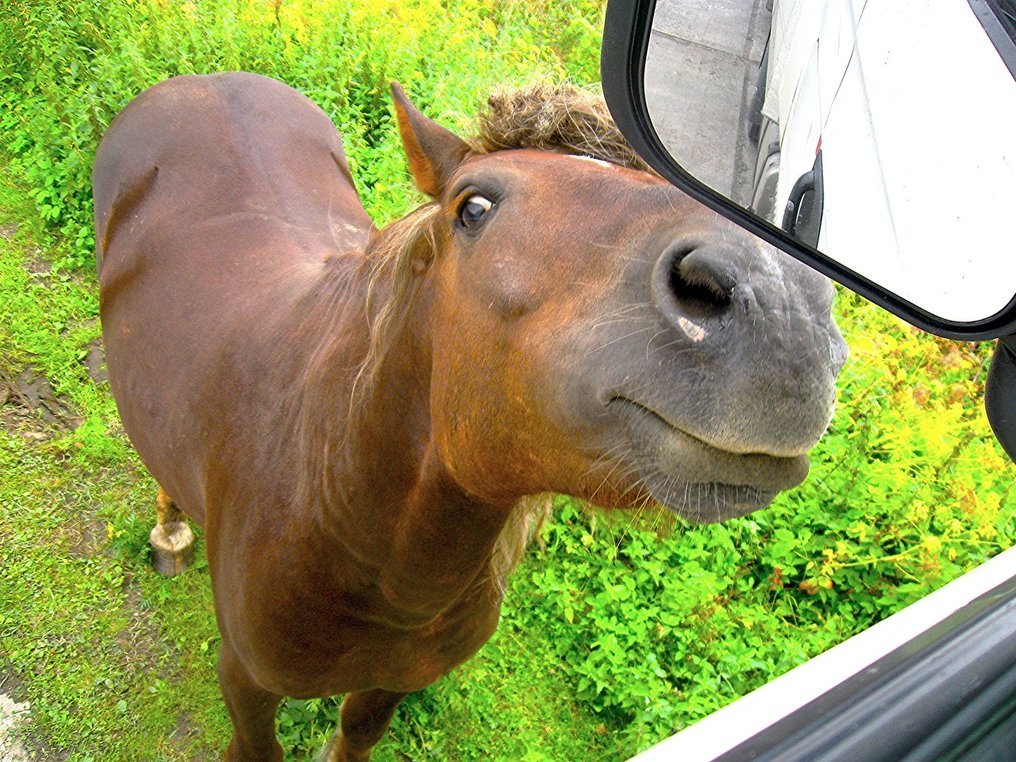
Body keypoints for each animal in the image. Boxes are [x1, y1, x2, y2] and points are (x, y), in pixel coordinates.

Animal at [93, 73, 841, 762]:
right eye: (473, 206)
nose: (784, 310)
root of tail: (203, 82)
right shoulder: (246, 681)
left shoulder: (390, 684)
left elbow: (355, 735)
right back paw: (169, 533)